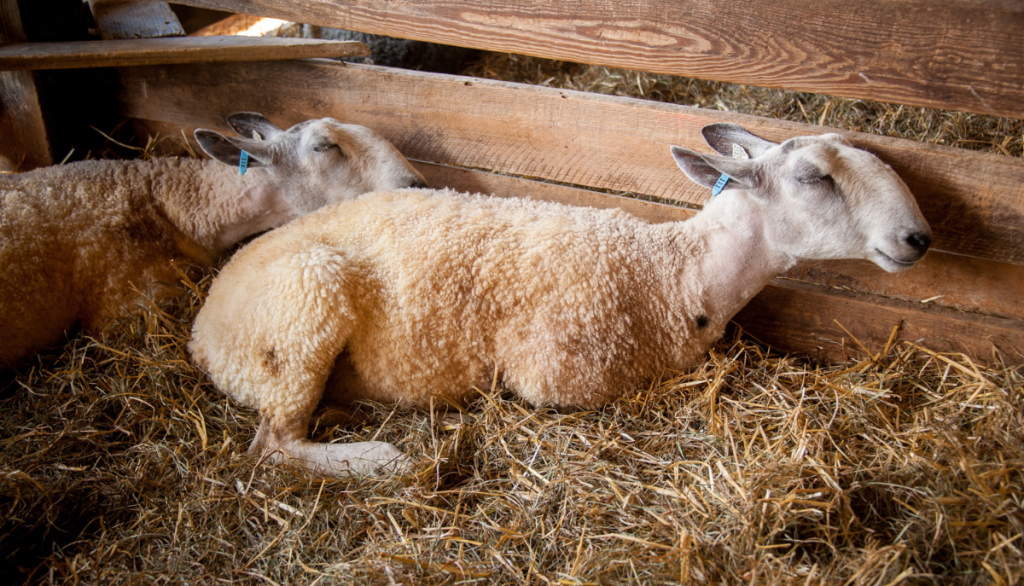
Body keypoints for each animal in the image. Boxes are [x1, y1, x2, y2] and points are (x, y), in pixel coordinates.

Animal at [188, 123, 932, 476]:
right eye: (814, 177)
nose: (918, 238)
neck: (676, 271)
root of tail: (202, 328)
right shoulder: (552, 378)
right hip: (300, 314)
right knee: (272, 445)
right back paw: (384, 460)